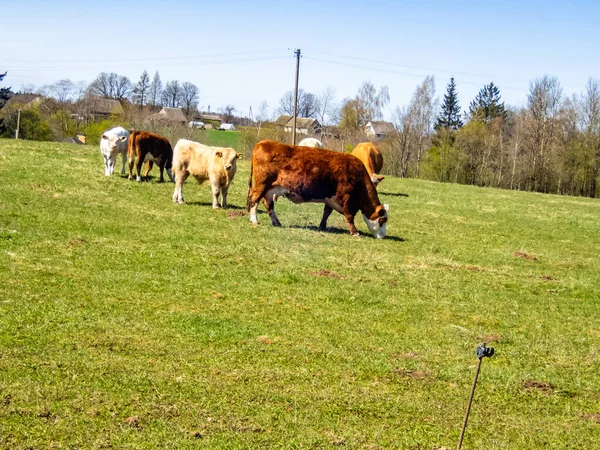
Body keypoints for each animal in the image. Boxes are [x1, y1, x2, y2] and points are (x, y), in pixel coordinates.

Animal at [245, 141, 390, 239]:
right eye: (382, 220)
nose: (383, 236)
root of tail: (263, 142)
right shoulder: (346, 197)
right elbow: (350, 216)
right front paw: (354, 232)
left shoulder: (330, 198)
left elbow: (326, 212)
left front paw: (322, 226)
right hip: (261, 185)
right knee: (254, 200)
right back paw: (254, 221)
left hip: (270, 189)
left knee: (268, 204)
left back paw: (276, 222)